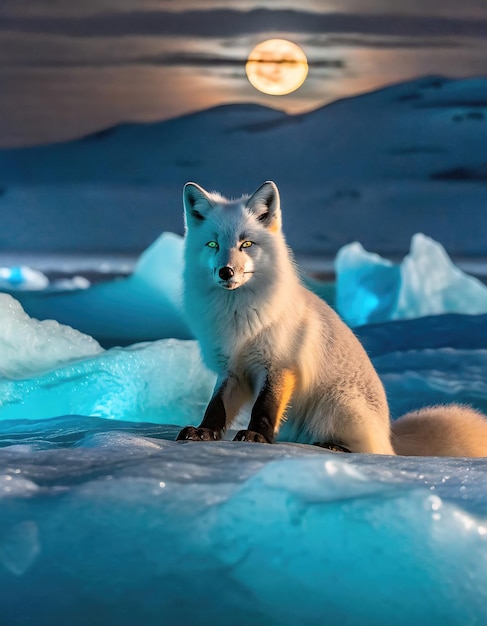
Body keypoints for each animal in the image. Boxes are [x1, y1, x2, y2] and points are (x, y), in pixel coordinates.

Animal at [177, 178, 487, 456]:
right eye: (213, 245)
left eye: (247, 244)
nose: (225, 271)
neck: (237, 317)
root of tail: (390, 437)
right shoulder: (231, 368)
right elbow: (216, 407)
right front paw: (203, 431)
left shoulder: (279, 364)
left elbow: (264, 408)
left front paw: (257, 437)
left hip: (334, 405)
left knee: (367, 450)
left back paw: (333, 446)